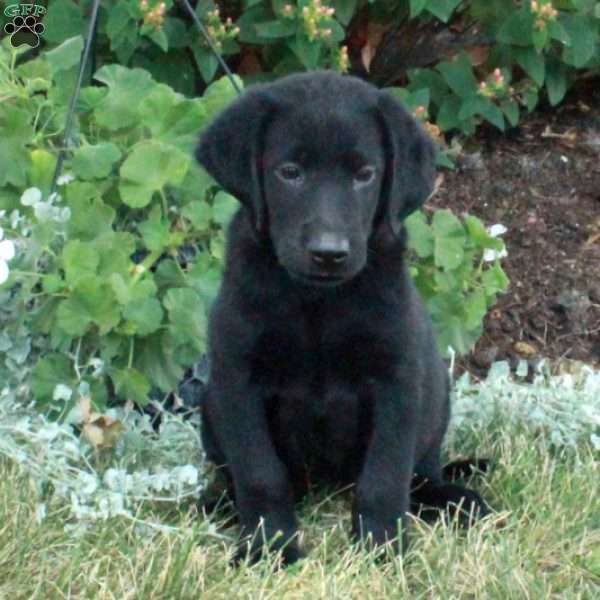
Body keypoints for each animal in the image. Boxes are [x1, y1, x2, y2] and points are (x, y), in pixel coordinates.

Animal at [197, 70, 488, 564]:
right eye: (289, 172)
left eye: (365, 175)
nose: (328, 253)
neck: (317, 301)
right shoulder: (238, 378)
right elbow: (260, 473)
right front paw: (268, 547)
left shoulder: (397, 379)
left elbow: (385, 475)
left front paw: (383, 547)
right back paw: (218, 502)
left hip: (436, 402)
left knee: (421, 474)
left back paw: (453, 498)